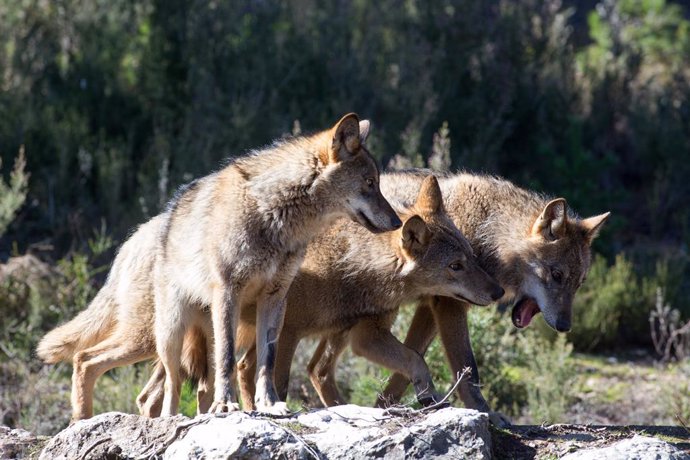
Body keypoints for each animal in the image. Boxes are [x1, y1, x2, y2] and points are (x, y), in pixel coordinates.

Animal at [37, 114, 400, 420]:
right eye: (370, 183)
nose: (398, 222)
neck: (274, 215)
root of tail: (134, 239)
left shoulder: (275, 299)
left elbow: (266, 362)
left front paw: (269, 405)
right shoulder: (229, 292)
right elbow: (228, 360)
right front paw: (226, 406)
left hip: (190, 335)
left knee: (178, 387)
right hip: (163, 335)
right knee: (104, 366)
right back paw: (100, 421)